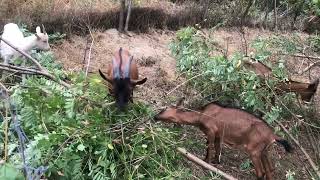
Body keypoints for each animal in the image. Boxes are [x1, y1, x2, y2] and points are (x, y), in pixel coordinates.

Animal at [154, 98, 294, 180]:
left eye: (164, 108)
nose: (155, 117)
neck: (200, 116)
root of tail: (273, 136)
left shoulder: (211, 131)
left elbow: (209, 146)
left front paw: (206, 163)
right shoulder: (218, 135)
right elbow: (216, 148)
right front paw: (215, 162)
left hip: (254, 150)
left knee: (261, 173)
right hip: (265, 150)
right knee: (270, 169)